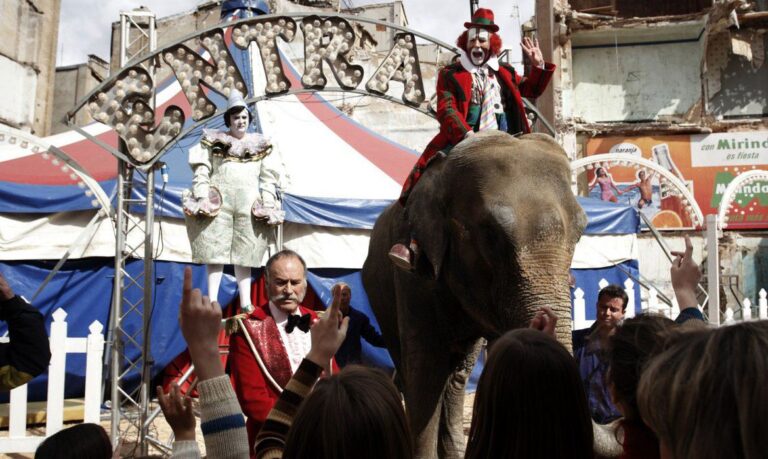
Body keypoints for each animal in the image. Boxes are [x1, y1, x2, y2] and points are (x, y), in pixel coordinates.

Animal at [364, 131, 584, 458]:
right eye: (491, 235)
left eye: (581, 233)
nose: (545, 319)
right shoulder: (414, 276)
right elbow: (425, 368)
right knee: (412, 368)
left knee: (457, 376)